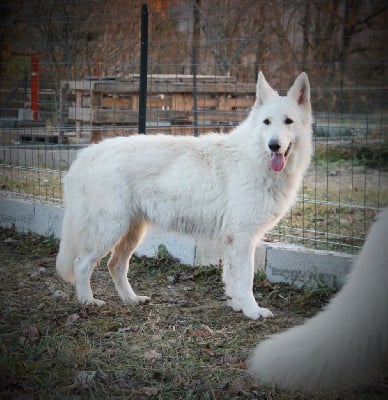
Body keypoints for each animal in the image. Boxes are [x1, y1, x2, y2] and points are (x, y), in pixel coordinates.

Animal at [56, 72, 312, 320]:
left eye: (288, 121)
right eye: (266, 122)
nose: (274, 145)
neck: (255, 156)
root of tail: (87, 154)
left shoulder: (233, 241)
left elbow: (232, 279)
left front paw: (237, 305)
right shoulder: (241, 239)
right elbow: (245, 280)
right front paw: (252, 311)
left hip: (132, 232)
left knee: (115, 265)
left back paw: (131, 299)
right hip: (110, 229)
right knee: (82, 263)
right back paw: (88, 301)